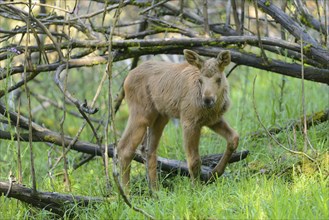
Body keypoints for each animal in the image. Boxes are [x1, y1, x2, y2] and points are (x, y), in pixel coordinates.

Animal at [117, 49, 238, 191]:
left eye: (219, 79)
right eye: (200, 80)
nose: (207, 100)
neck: (213, 108)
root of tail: (126, 79)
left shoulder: (213, 120)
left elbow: (234, 138)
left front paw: (214, 174)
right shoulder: (189, 121)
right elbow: (194, 160)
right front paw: (196, 189)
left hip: (160, 117)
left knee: (148, 150)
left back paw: (155, 191)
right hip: (141, 113)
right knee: (124, 148)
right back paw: (127, 192)